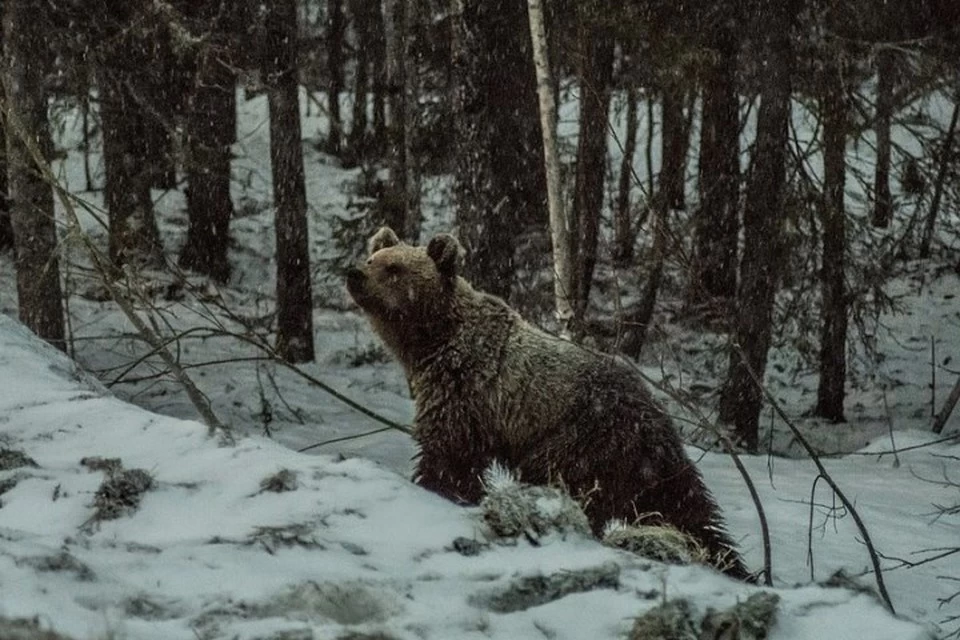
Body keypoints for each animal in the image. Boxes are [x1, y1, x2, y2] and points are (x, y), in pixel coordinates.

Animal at [344, 228, 752, 576]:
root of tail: (656, 422)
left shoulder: (465, 390)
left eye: (394, 268)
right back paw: (731, 562)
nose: (354, 273)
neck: (430, 343)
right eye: (373, 257)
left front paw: (439, 488)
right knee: (689, 509)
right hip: (646, 467)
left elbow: (450, 456)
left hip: (581, 441)